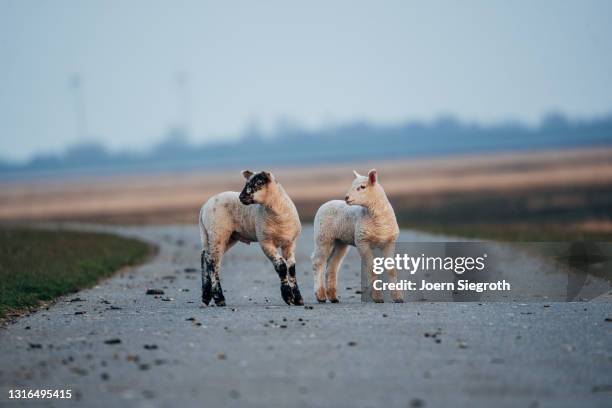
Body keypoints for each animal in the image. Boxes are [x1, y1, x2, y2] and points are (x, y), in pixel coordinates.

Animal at [198, 170, 304, 306]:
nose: (241, 197)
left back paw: (206, 296)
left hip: (224, 236)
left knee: (206, 257)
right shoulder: (265, 242)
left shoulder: (290, 243)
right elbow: (281, 266)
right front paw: (288, 297)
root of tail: (204, 206)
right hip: (218, 233)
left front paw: (298, 299)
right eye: (246, 182)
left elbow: (291, 269)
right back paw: (219, 298)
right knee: (213, 263)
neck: (277, 215)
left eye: (258, 182)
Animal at [310, 169, 402, 302]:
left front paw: (398, 297)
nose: (346, 198)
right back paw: (320, 295)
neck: (378, 222)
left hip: (340, 241)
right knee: (318, 262)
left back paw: (333, 297)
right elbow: (372, 268)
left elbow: (391, 270)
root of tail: (326, 203)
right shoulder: (362, 241)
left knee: (332, 265)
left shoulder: (389, 242)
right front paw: (377, 297)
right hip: (323, 236)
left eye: (362, 187)